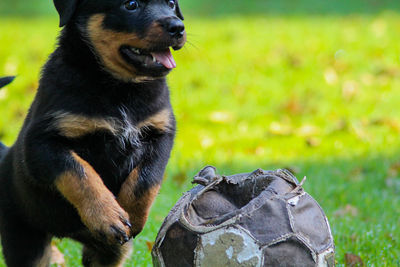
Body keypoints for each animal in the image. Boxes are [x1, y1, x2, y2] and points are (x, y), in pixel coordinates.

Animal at [0, 0, 185, 266]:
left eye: (171, 4)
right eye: (131, 5)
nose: (178, 27)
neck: (120, 88)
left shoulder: (161, 134)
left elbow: (146, 178)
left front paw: (133, 215)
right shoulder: (40, 144)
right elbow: (80, 174)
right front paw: (108, 216)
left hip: (109, 252)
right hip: (24, 237)